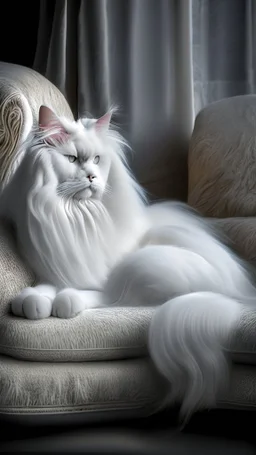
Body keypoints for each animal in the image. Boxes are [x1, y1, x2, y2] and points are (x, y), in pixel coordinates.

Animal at [1, 106, 255, 420]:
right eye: (72, 159)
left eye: (97, 160)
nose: (92, 177)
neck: (78, 218)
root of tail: (241, 290)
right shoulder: (50, 269)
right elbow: (41, 290)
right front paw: (31, 302)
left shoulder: (105, 279)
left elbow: (90, 293)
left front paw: (64, 302)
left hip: (146, 265)